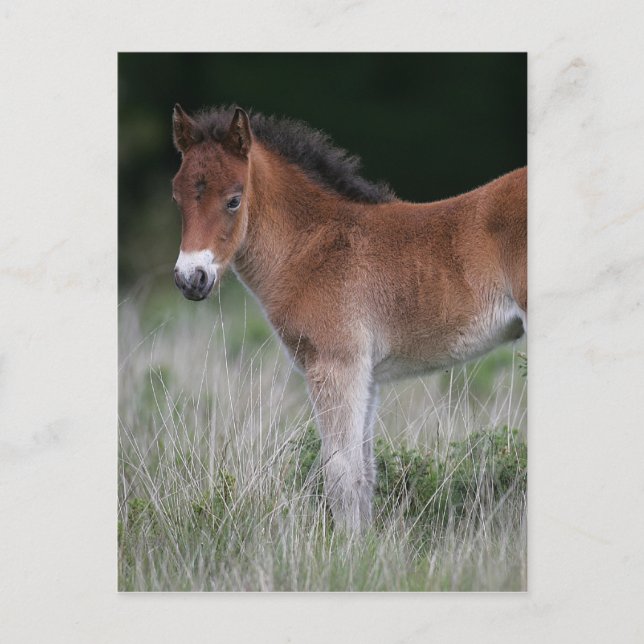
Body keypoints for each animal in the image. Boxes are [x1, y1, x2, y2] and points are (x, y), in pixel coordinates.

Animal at [171, 104, 527, 534]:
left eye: (234, 200)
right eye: (177, 196)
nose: (191, 278)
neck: (313, 245)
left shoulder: (337, 364)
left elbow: (339, 471)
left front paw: (345, 548)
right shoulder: (365, 374)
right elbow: (364, 472)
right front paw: (363, 543)